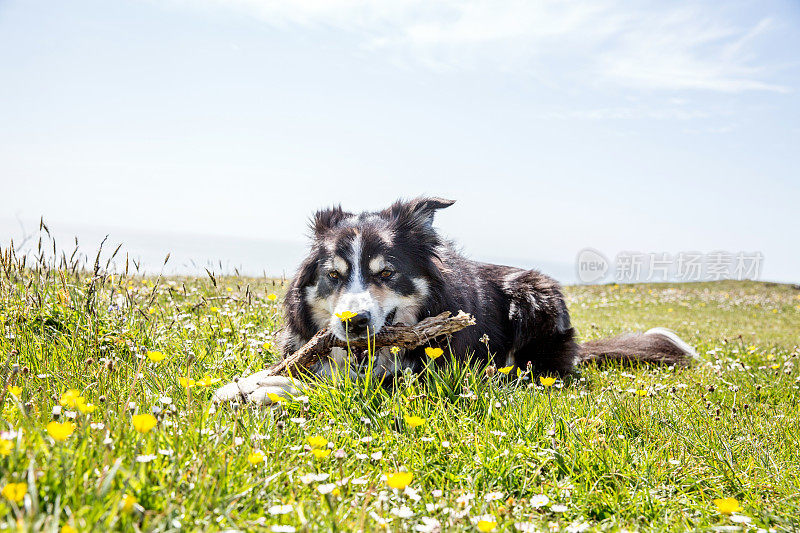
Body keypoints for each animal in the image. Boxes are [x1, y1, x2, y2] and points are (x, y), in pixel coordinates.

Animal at [212, 196, 692, 404]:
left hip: (535, 294)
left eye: (386, 273)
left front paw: (267, 389)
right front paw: (246, 383)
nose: (353, 323)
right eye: (334, 275)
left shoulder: (430, 375)